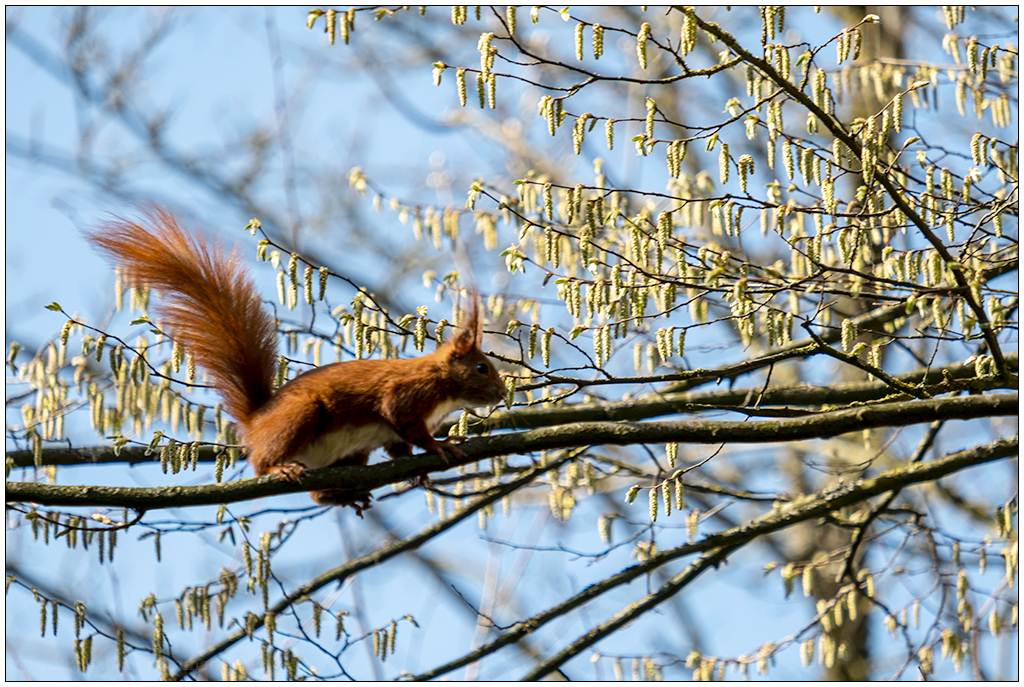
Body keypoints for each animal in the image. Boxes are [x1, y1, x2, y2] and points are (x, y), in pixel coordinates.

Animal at [87, 205, 506, 514]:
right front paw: (438, 446)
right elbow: (403, 421)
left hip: (352, 455)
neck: (445, 389)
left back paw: (344, 495)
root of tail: (256, 421)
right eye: (481, 367)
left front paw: (421, 473)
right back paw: (280, 467)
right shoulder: (407, 394)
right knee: (262, 463)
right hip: (300, 416)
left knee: (322, 492)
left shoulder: (391, 436)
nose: (502, 394)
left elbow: (398, 448)